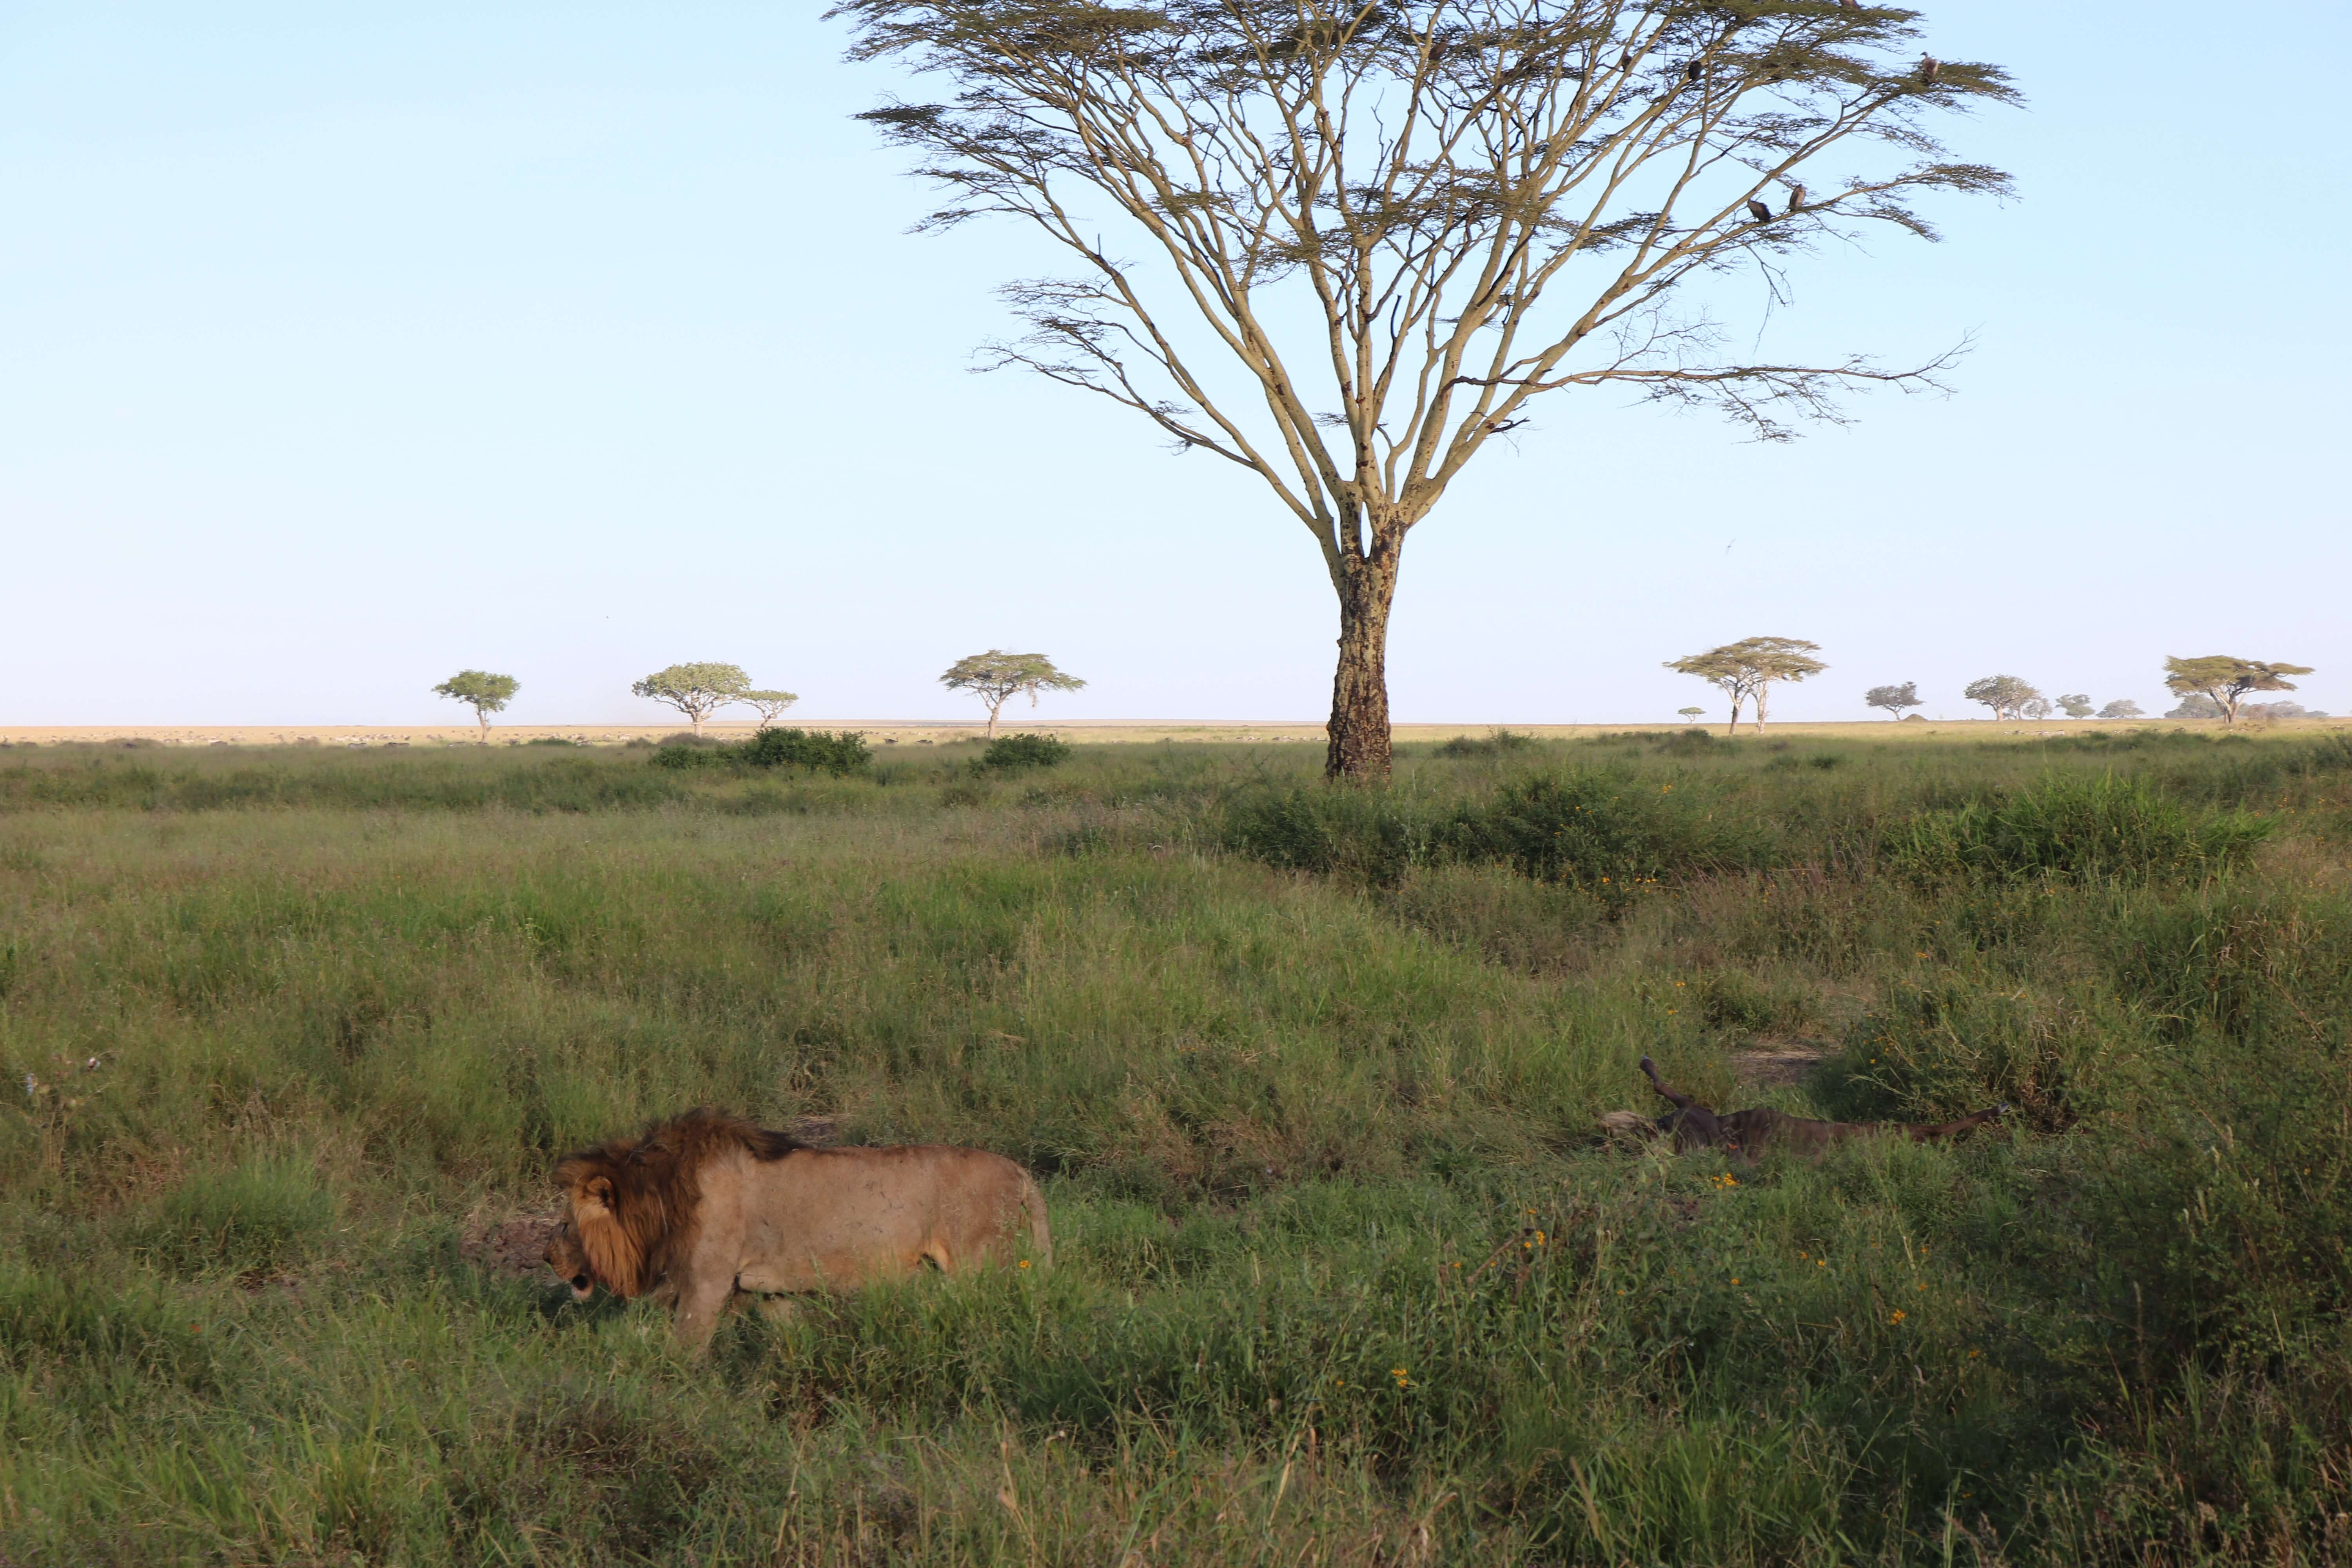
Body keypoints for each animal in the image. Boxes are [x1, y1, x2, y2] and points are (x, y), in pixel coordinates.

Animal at [550, 1105, 1049, 1354]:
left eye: (567, 1223)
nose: (545, 1256)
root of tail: (1020, 1172)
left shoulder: (706, 1282)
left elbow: (684, 1347)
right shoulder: (772, 1291)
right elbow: (789, 1342)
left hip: (979, 1269)